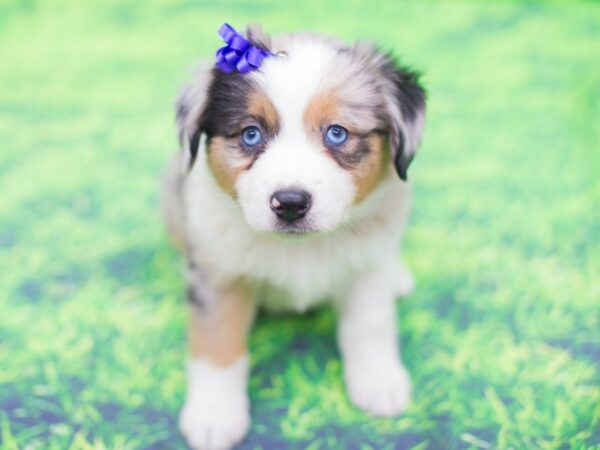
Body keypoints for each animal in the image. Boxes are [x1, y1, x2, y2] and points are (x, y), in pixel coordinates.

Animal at [163, 23, 426, 450]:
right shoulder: (217, 271)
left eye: (337, 133)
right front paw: (214, 416)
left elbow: (370, 327)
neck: (301, 248)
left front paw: (378, 383)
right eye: (251, 135)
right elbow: (217, 340)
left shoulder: (367, 270)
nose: (289, 203)